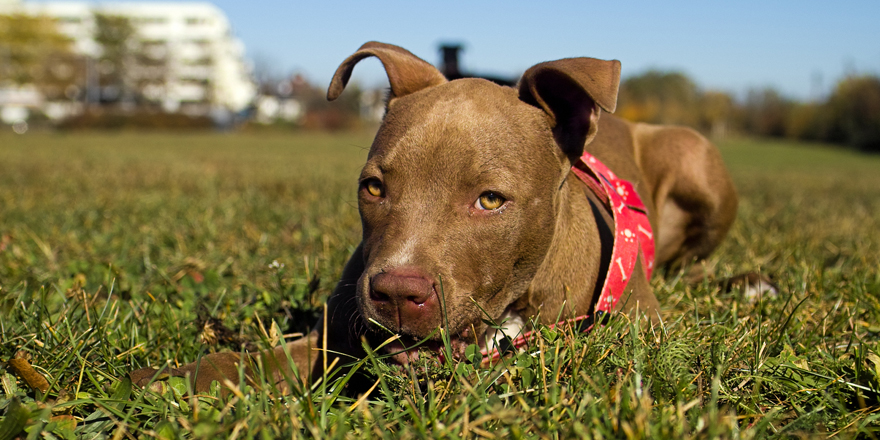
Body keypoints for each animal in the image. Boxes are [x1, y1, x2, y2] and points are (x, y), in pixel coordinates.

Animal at [131, 41, 740, 392]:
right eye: (374, 188)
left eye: (490, 200)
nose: (398, 293)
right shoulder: (335, 337)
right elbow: (248, 363)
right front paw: (161, 383)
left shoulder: (633, 333)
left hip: (699, 157)